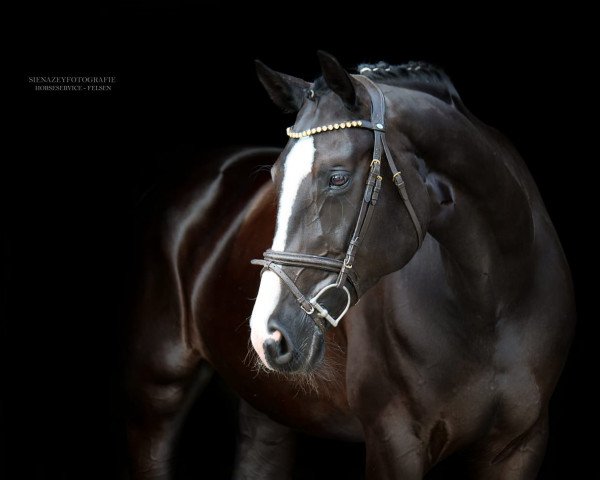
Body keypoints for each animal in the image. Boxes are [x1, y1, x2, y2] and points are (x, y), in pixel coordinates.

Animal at [127, 50, 576, 478]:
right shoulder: (394, 442)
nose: (267, 334)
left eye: (338, 178)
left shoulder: (520, 445)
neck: (494, 300)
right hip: (158, 387)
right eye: (275, 177)